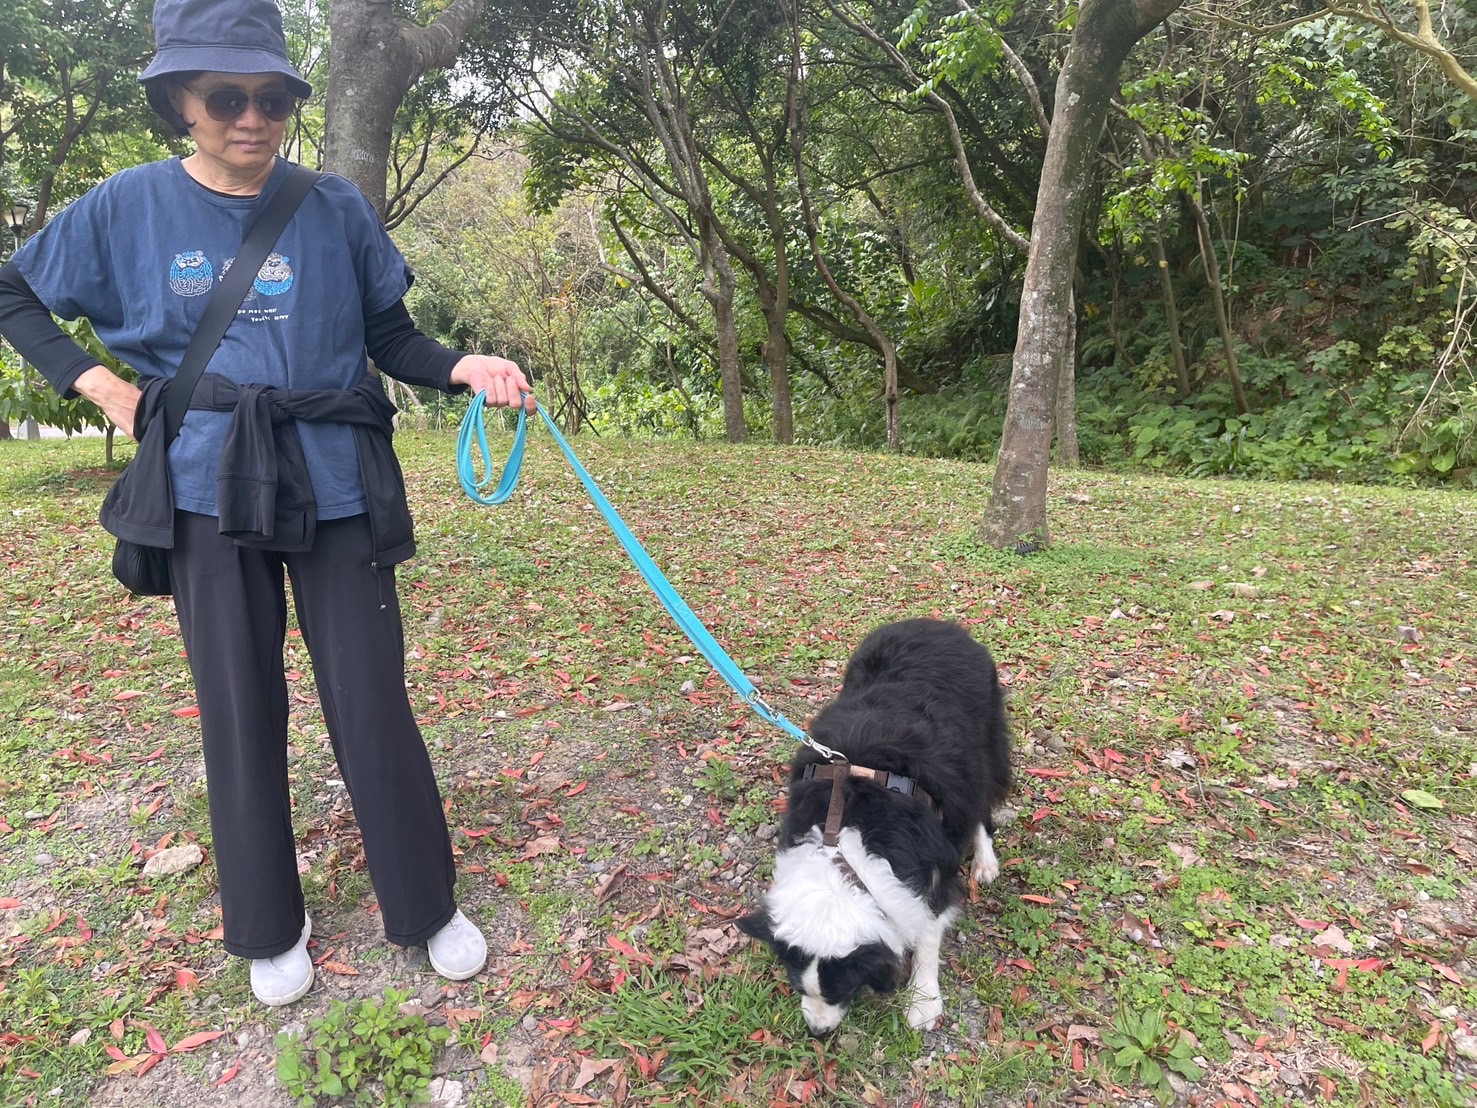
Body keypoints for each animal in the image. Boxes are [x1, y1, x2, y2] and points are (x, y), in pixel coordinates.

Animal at [738, 620, 1016, 1040]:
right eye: (797, 986)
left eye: (843, 990)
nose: (817, 1033)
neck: (844, 852)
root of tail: (935, 623)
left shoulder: (932, 868)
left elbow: (929, 931)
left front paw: (923, 1000)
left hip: (982, 747)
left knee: (982, 802)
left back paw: (985, 861)